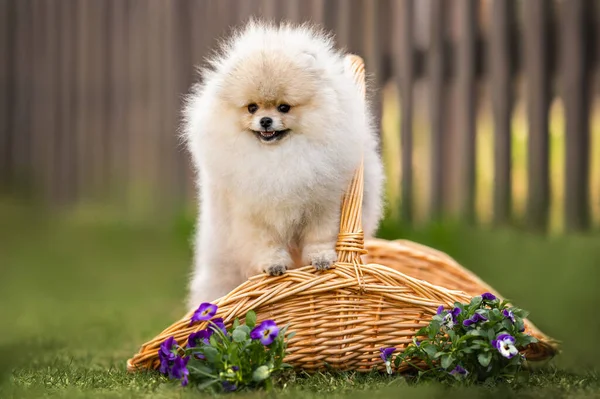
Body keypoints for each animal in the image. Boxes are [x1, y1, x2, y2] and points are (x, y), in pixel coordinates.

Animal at [180, 21, 384, 310]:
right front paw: (274, 265)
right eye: (252, 108)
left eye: (284, 107)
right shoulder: (252, 213)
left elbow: (320, 236)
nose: (265, 120)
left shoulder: (324, 205)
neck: (279, 159)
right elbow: (266, 243)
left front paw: (322, 259)